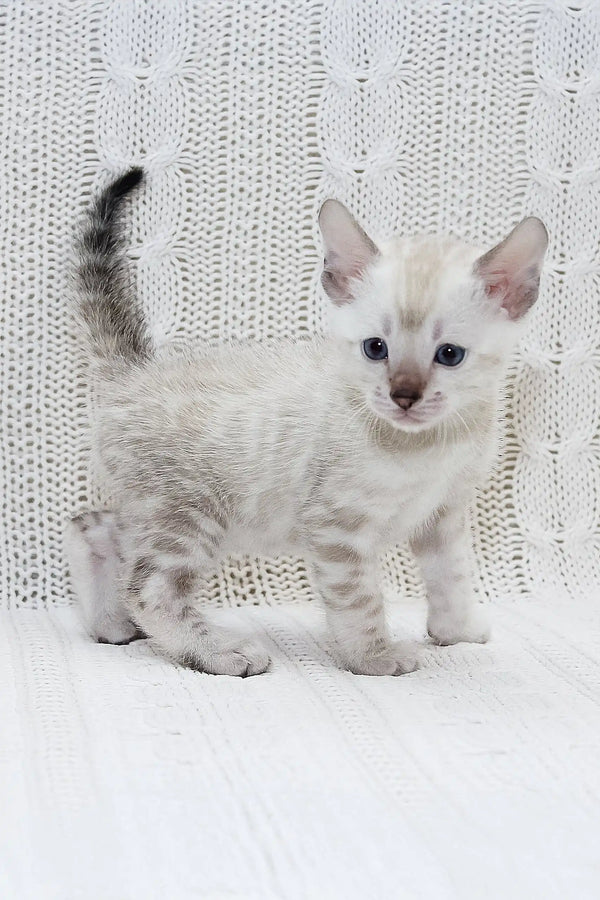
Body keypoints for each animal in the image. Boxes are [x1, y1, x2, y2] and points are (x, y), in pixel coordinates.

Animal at [63, 169, 548, 676]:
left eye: (449, 355)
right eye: (375, 348)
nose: (403, 397)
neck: (431, 446)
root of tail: (135, 371)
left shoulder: (444, 512)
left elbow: (450, 576)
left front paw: (457, 631)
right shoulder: (337, 526)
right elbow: (359, 602)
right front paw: (375, 657)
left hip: (153, 508)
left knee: (89, 526)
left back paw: (109, 625)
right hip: (188, 513)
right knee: (149, 587)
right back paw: (220, 652)